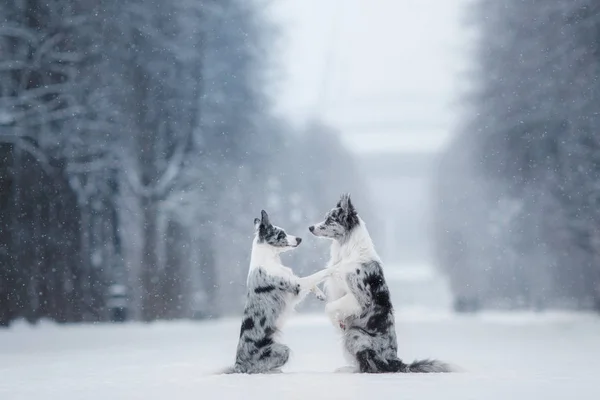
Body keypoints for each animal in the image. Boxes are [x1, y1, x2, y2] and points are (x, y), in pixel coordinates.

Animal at [223, 211, 330, 374]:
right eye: (281, 234)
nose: (299, 238)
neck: (270, 260)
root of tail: (238, 364)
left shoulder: (295, 287)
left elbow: (311, 281)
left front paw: (320, 294)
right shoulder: (296, 286)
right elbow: (318, 274)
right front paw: (338, 266)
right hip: (282, 350)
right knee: (259, 369)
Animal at [310, 195, 454, 374]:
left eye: (330, 219)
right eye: (326, 217)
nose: (310, 227)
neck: (348, 250)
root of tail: (395, 362)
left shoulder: (359, 298)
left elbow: (330, 307)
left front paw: (337, 323)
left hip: (354, 334)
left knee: (370, 366)